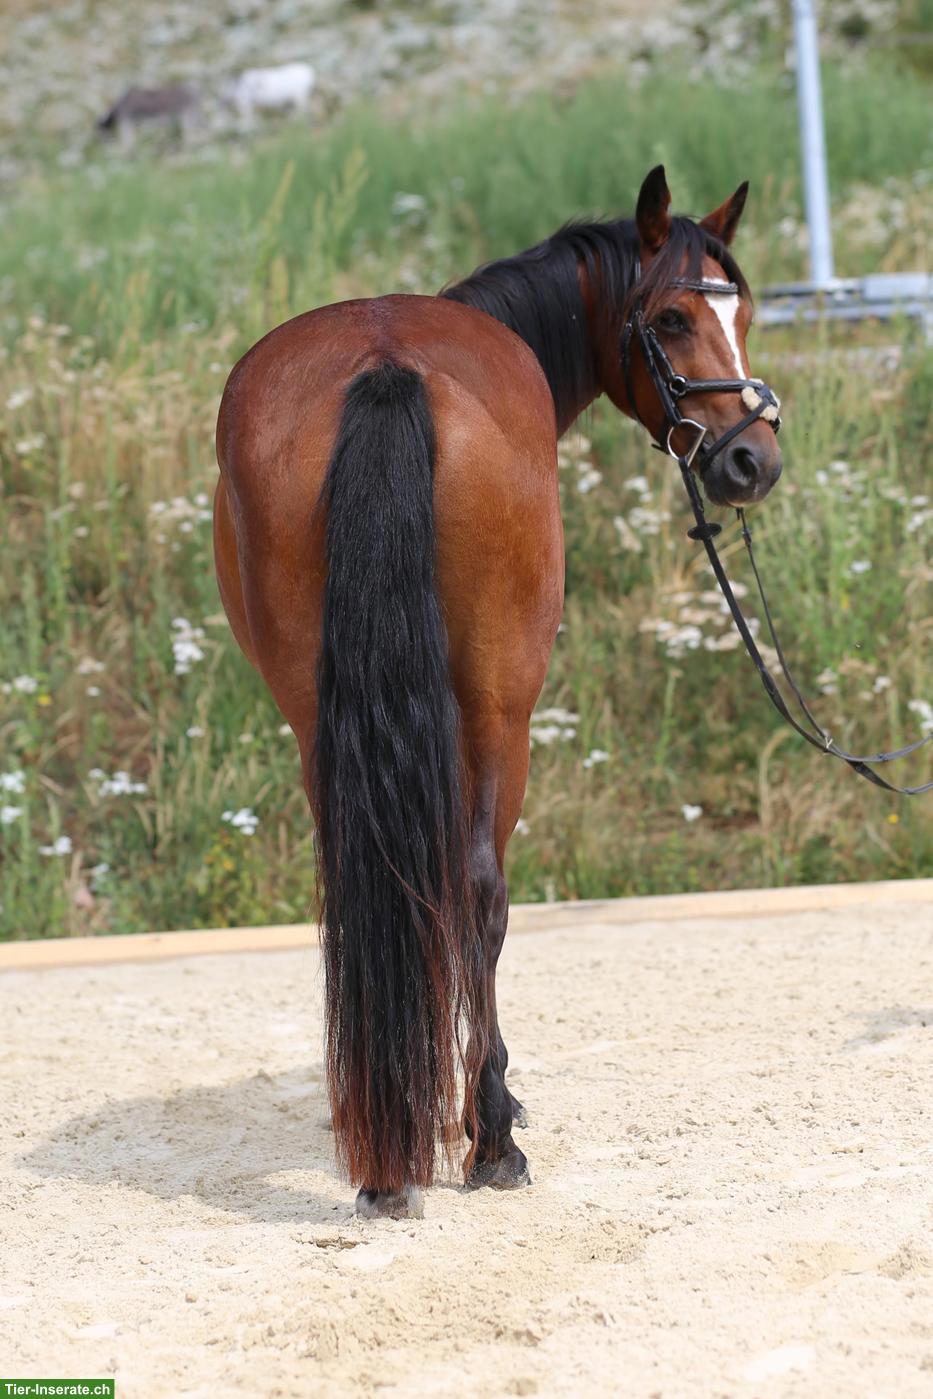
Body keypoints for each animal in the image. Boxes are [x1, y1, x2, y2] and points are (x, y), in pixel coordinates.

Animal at [213, 165, 783, 1219]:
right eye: (673, 318)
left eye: (743, 310)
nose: (751, 460)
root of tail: (385, 366)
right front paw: (489, 1113)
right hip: (499, 707)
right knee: (478, 887)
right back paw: (487, 1136)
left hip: (318, 717)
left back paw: (388, 1151)